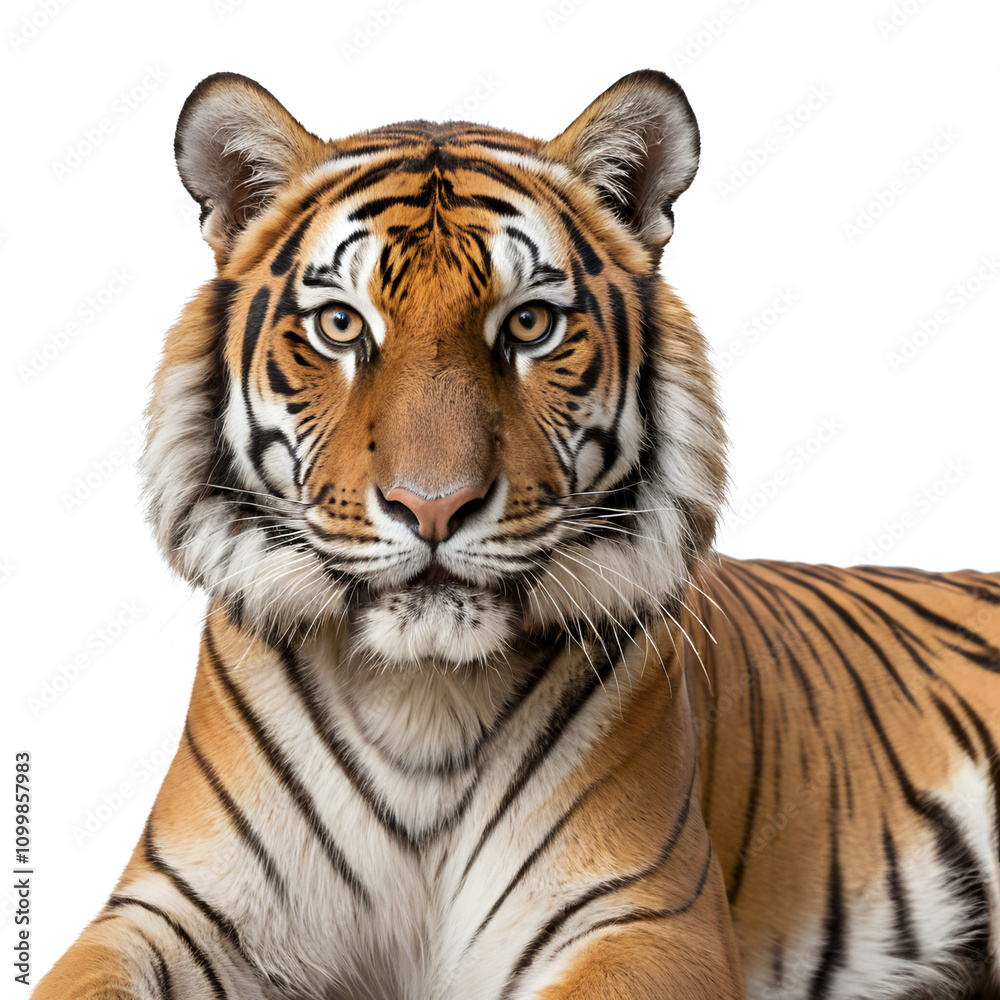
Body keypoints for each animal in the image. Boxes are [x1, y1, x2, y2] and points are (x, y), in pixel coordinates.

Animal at [33, 68, 1000, 1000]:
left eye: (530, 323)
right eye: (341, 324)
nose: (432, 506)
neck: (419, 697)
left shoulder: (647, 919)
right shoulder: (172, 909)